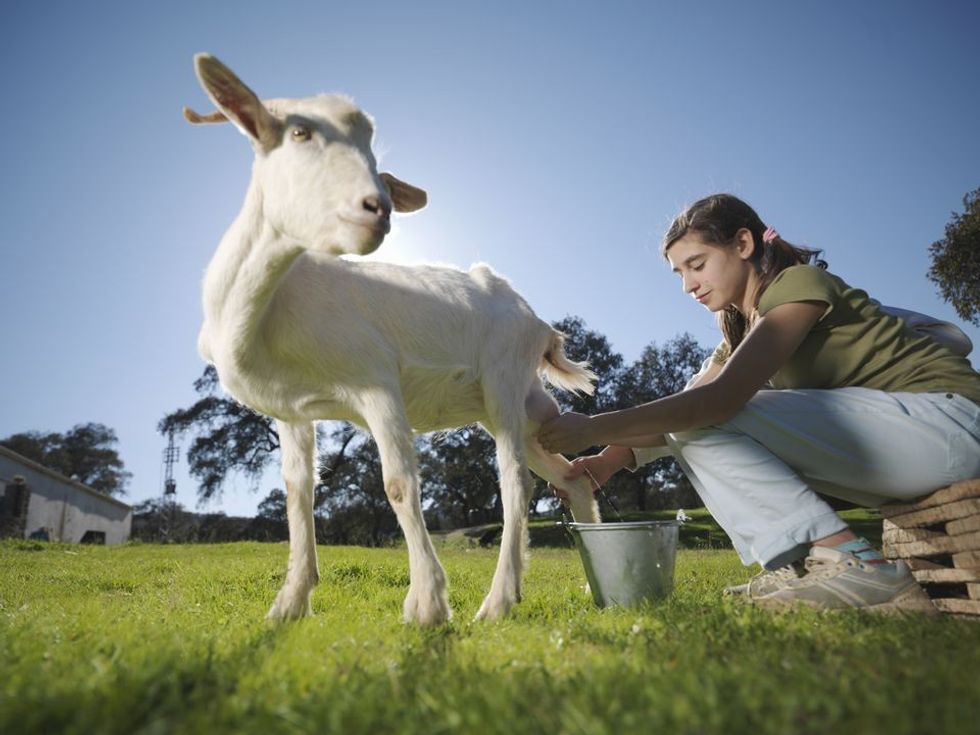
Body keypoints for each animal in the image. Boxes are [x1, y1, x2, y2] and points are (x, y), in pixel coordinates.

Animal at [185, 53, 600, 624]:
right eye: (299, 132)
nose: (376, 207)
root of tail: (538, 323)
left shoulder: (376, 382)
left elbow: (398, 484)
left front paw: (427, 604)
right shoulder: (292, 412)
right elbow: (297, 494)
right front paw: (288, 605)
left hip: (503, 378)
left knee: (516, 481)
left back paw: (497, 601)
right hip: (522, 407)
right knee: (571, 474)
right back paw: (595, 586)